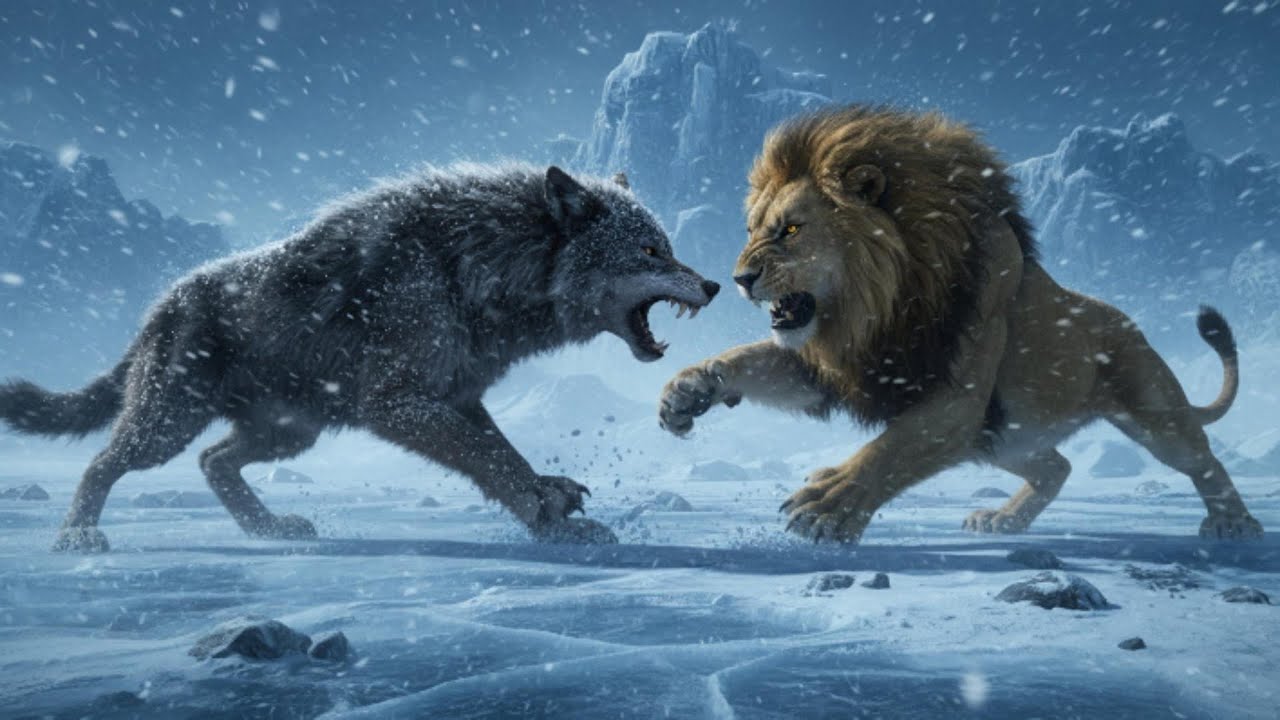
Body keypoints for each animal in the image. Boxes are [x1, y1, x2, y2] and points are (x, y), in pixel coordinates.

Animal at [0, 164, 719, 552]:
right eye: (651, 251)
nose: (714, 285)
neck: (478, 268)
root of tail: (158, 305)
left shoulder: (457, 398)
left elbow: (500, 454)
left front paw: (548, 507)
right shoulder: (397, 404)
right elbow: (487, 458)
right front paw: (550, 517)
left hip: (292, 432)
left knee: (214, 460)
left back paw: (269, 529)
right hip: (170, 425)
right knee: (103, 462)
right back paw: (76, 538)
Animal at [658, 105, 1263, 543]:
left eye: (790, 230)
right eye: (752, 229)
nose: (738, 278)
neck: (877, 306)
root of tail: (1127, 322)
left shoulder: (957, 395)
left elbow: (892, 448)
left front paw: (831, 503)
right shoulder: (842, 370)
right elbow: (749, 360)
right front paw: (686, 391)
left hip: (1150, 410)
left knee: (1201, 459)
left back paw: (1235, 523)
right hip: (1007, 439)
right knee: (1058, 466)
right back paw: (1004, 519)